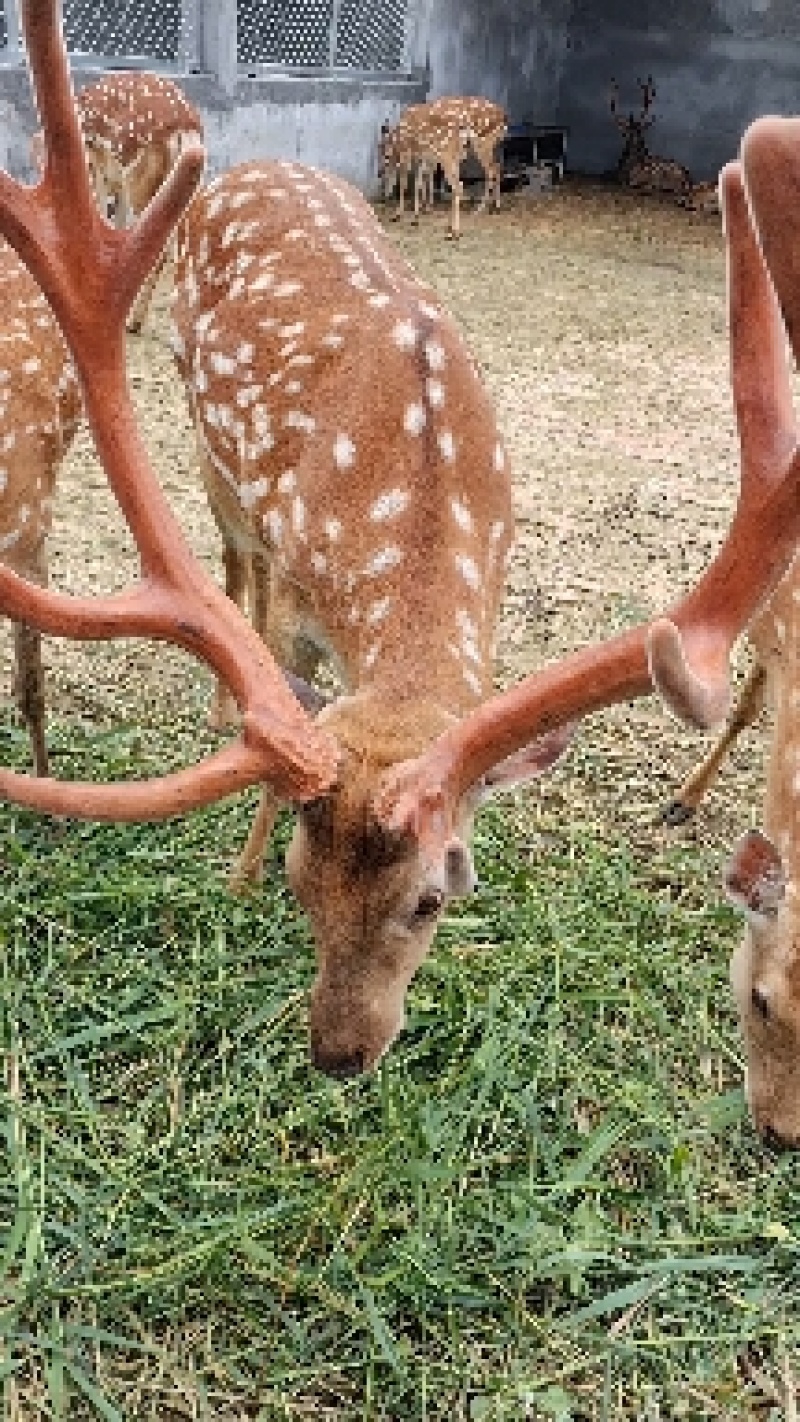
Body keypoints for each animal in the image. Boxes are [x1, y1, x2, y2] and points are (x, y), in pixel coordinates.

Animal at [379, 97, 507, 240]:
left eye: (385, 156)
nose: (379, 173)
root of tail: (503, 117)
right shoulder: (425, 157)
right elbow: (422, 180)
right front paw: (422, 211)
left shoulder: (410, 154)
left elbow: (405, 182)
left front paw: (399, 214)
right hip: (472, 151)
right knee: (496, 168)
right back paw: (493, 208)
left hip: (481, 144)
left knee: (485, 173)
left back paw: (472, 216)